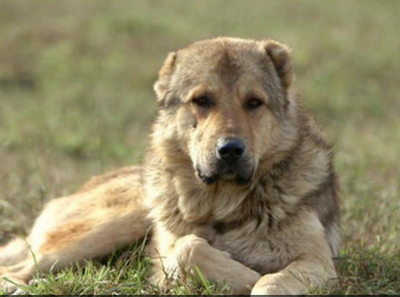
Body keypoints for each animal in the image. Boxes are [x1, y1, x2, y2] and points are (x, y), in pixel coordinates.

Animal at [0, 37, 340, 294]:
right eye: (202, 100)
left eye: (254, 102)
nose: (230, 150)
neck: (222, 205)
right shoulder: (174, 251)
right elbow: (188, 248)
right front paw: (244, 276)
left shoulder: (316, 260)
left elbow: (270, 284)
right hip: (114, 223)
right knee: (20, 265)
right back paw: (19, 285)